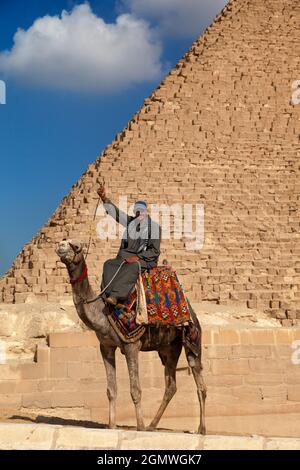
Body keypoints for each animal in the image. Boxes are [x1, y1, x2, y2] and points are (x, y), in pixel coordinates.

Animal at [55, 239, 206, 434]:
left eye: (76, 246)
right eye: (65, 241)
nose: (60, 245)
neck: (102, 312)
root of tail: (191, 311)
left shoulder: (131, 345)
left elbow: (135, 389)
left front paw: (139, 426)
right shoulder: (106, 347)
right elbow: (111, 390)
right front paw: (111, 426)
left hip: (192, 339)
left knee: (199, 383)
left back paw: (201, 429)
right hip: (168, 348)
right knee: (171, 385)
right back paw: (152, 425)